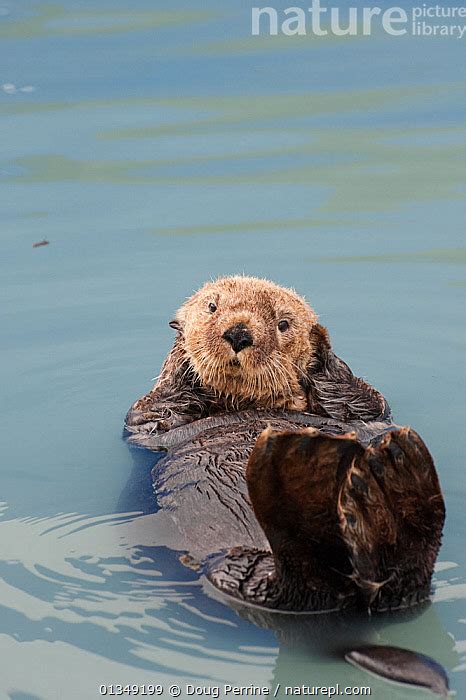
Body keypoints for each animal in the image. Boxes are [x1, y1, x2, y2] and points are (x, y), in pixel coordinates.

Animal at [124, 278, 448, 696]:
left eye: (283, 324)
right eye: (212, 307)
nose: (239, 332)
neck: (245, 403)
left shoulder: (365, 411)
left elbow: (364, 402)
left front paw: (322, 351)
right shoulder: (146, 425)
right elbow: (154, 410)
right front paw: (182, 355)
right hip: (238, 567)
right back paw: (309, 469)